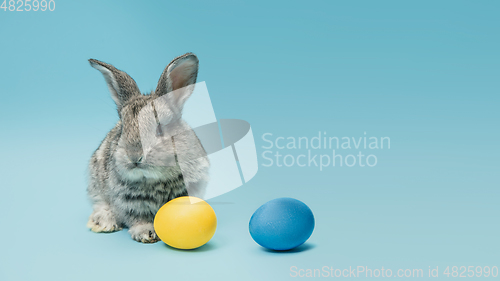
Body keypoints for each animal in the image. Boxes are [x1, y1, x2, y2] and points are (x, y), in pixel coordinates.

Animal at [87, 53, 210, 242]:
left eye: (160, 129)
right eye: (123, 129)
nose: (134, 156)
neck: (155, 178)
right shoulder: (130, 204)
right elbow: (139, 219)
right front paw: (147, 233)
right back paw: (103, 222)